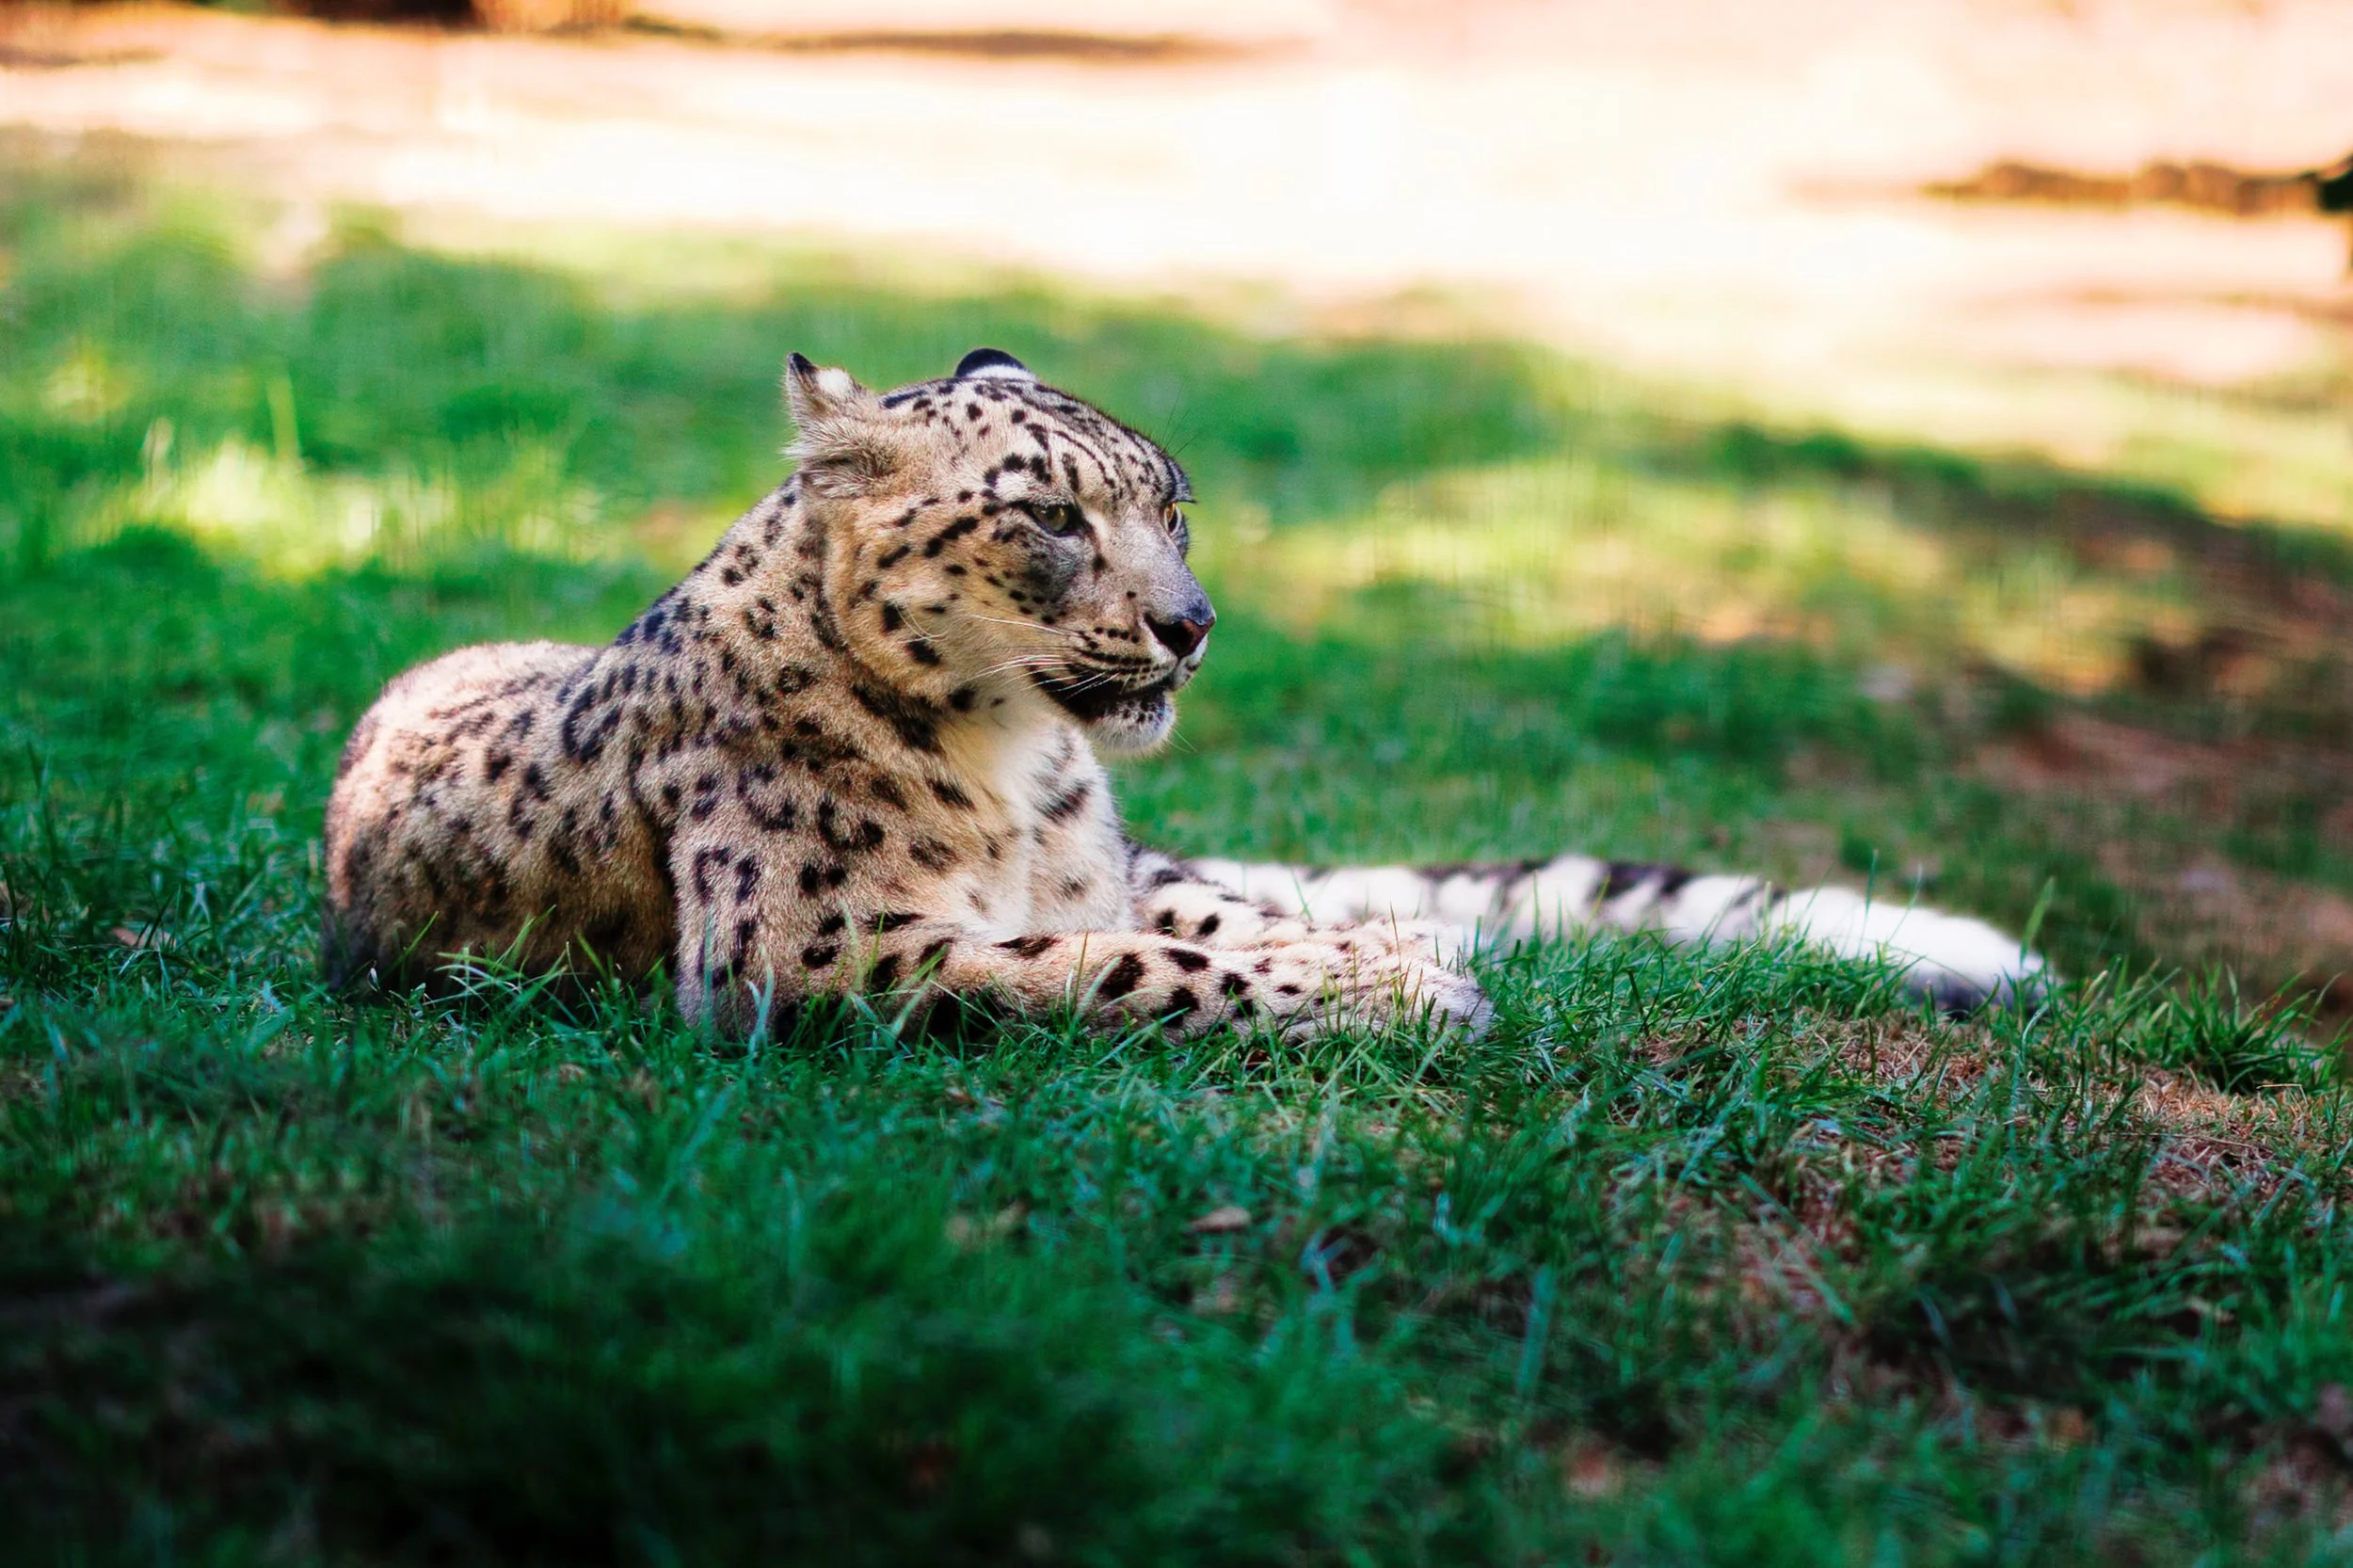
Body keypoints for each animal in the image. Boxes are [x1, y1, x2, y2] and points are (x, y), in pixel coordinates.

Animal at [322, 347, 2046, 1040]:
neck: (1024, 773)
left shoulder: (1095, 869)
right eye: (1050, 515)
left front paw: (1400, 959)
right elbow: (1123, 966)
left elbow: (1193, 924)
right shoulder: (815, 953)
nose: (1192, 624)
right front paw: (1406, 990)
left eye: (1176, 504)